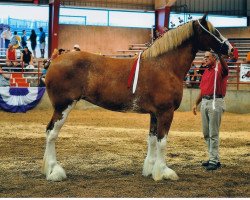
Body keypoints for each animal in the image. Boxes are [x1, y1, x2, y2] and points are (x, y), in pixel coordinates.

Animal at [42, 14, 232, 182]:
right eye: (213, 31)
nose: (230, 49)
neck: (165, 65)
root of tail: (54, 61)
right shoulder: (165, 112)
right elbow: (162, 141)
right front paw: (163, 172)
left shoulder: (155, 114)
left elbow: (152, 140)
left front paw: (150, 169)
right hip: (63, 106)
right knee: (52, 133)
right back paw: (54, 171)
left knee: (49, 131)